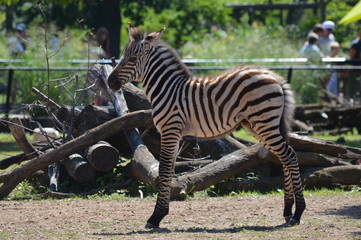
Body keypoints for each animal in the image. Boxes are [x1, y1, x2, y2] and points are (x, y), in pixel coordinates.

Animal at [107, 25, 304, 229]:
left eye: (132, 59)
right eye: (123, 56)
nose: (109, 82)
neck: (168, 89)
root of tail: (275, 77)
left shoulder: (170, 130)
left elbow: (164, 170)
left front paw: (156, 217)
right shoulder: (174, 134)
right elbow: (169, 170)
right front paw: (161, 214)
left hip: (265, 122)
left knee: (290, 156)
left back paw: (297, 213)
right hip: (259, 124)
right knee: (284, 157)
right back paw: (287, 212)